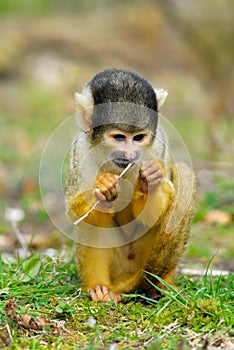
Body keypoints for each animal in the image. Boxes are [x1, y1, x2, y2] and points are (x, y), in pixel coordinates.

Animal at [65, 68, 195, 304]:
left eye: (138, 138)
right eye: (119, 137)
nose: (130, 154)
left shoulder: (158, 147)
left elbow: (156, 213)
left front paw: (151, 181)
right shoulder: (80, 151)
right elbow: (75, 213)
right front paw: (104, 187)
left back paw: (162, 284)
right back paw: (99, 287)